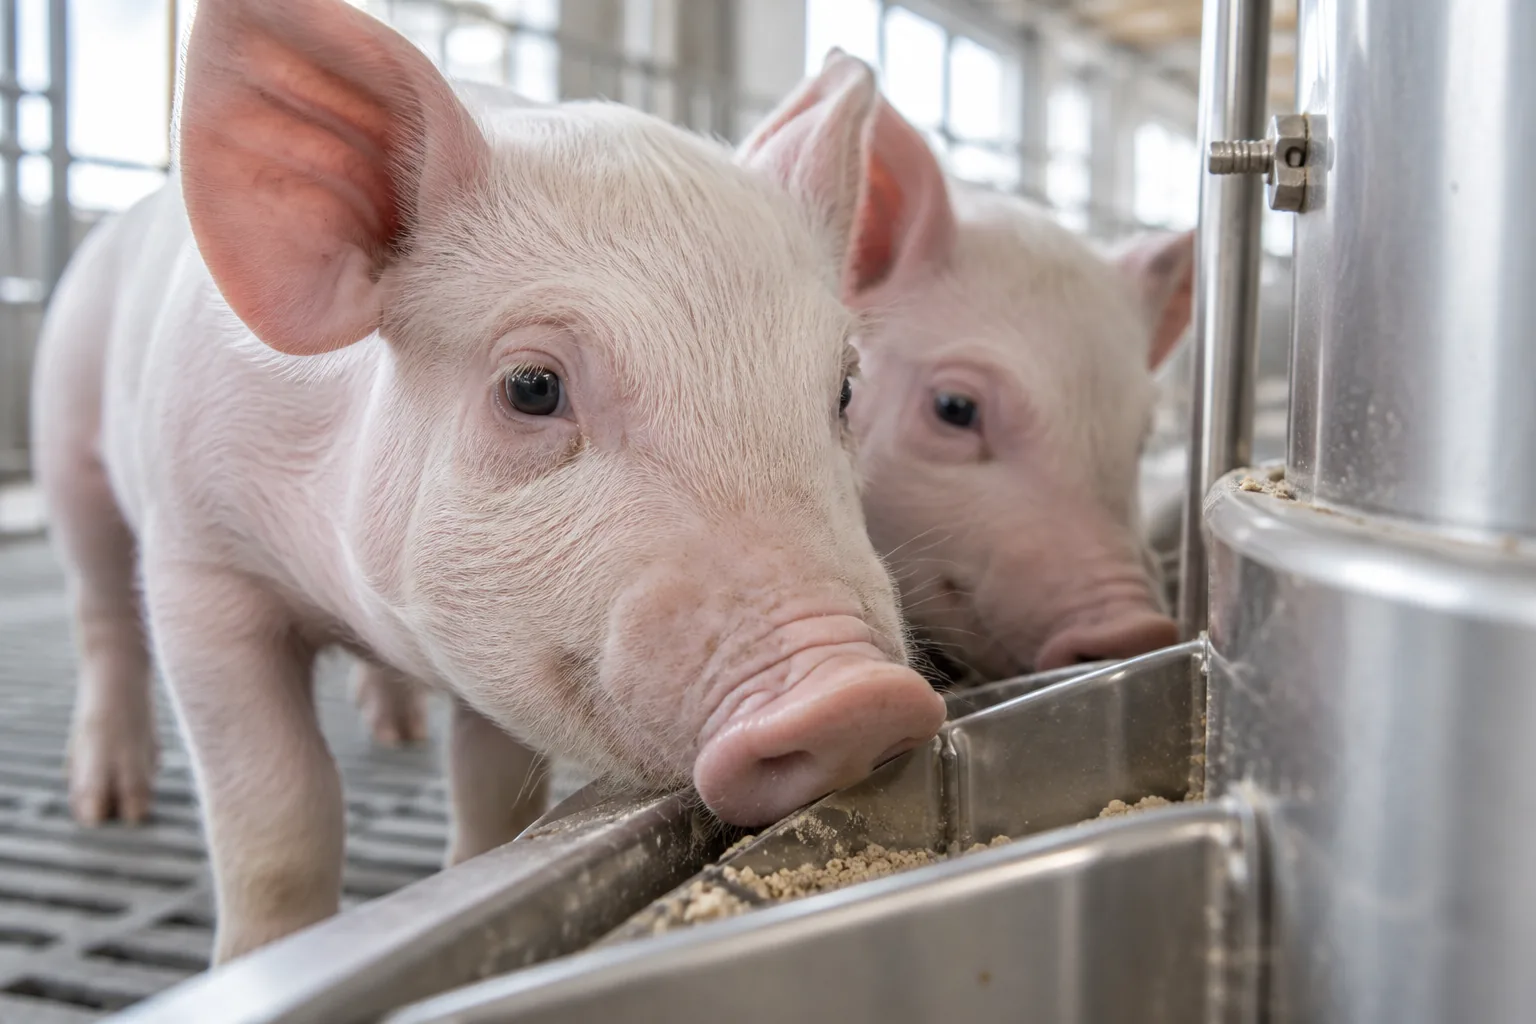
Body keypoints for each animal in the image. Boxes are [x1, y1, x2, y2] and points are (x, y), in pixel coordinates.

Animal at [31, 0, 945, 963]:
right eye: (532, 386)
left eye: (845, 389)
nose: (858, 697)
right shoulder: (198, 561)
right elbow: (280, 811)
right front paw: (256, 960)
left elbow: (491, 785)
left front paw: (465, 862)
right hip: (67, 444)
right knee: (101, 611)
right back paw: (109, 807)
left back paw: (397, 727)